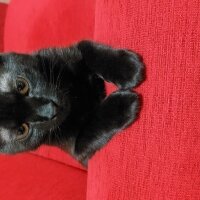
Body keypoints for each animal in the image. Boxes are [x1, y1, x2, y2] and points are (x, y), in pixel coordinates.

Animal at [0, 40, 145, 166]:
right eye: (22, 130)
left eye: (21, 86)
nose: (51, 110)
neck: (72, 95)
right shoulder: (78, 149)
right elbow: (96, 123)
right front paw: (122, 104)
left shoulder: (69, 53)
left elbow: (88, 48)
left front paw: (128, 68)